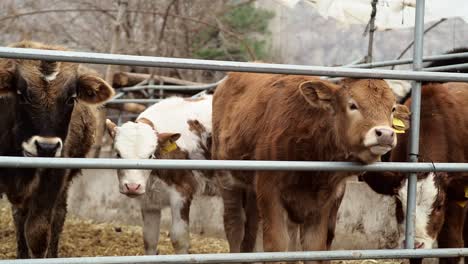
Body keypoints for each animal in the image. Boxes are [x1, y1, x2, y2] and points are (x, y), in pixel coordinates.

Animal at [0, 41, 114, 258]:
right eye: (22, 95)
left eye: (71, 98)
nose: (47, 146)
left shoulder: (53, 178)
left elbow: (37, 233)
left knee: (58, 216)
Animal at [105, 95, 217, 254]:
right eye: (118, 154)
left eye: (150, 156)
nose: (132, 186)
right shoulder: (149, 201)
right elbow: (149, 239)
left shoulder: (182, 192)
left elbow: (179, 239)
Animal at [210, 71, 408, 262]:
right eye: (352, 105)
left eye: (392, 109)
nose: (385, 134)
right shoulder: (269, 191)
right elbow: (276, 246)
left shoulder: (323, 201)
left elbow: (314, 247)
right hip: (227, 178)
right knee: (234, 224)